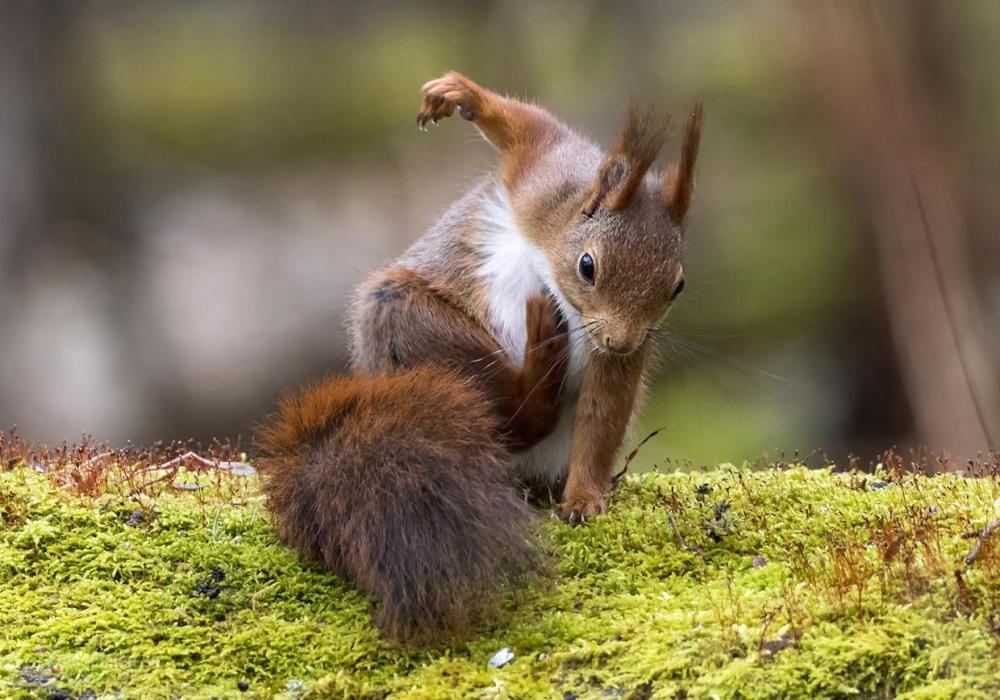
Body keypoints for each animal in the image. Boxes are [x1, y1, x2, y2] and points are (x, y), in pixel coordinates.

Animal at [258, 72, 704, 644]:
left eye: (678, 286)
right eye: (588, 266)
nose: (622, 342)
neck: (555, 253)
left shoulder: (615, 355)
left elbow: (602, 417)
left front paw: (583, 498)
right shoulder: (543, 177)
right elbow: (527, 127)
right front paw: (460, 95)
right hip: (405, 318)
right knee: (510, 413)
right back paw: (538, 364)